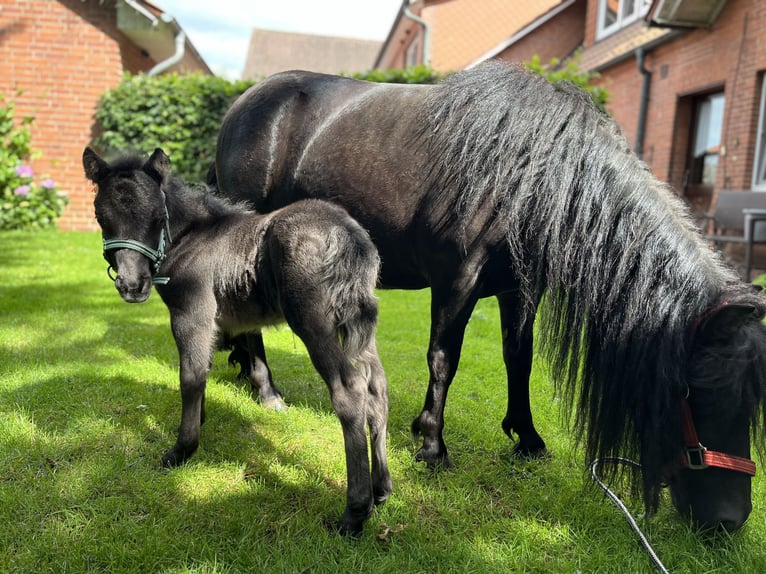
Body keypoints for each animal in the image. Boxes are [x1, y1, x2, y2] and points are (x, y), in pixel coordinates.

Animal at [85, 146, 390, 536]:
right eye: (100, 216)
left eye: (157, 215)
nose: (132, 285)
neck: (191, 237)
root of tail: (350, 236)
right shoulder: (226, 322)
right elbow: (211, 368)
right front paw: (200, 420)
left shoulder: (192, 313)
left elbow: (190, 376)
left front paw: (182, 449)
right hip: (359, 326)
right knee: (377, 388)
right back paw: (382, 489)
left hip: (314, 323)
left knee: (349, 391)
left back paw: (354, 512)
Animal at [213, 60, 766, 532]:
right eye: (698, 390)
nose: (730, 520)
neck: (530, 174)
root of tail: (246, 103)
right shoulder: (456, 280)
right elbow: (443, 359)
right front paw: (432, 445)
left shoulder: (520, 289)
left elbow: (517, 358)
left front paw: (527, 437)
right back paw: (267, 391)